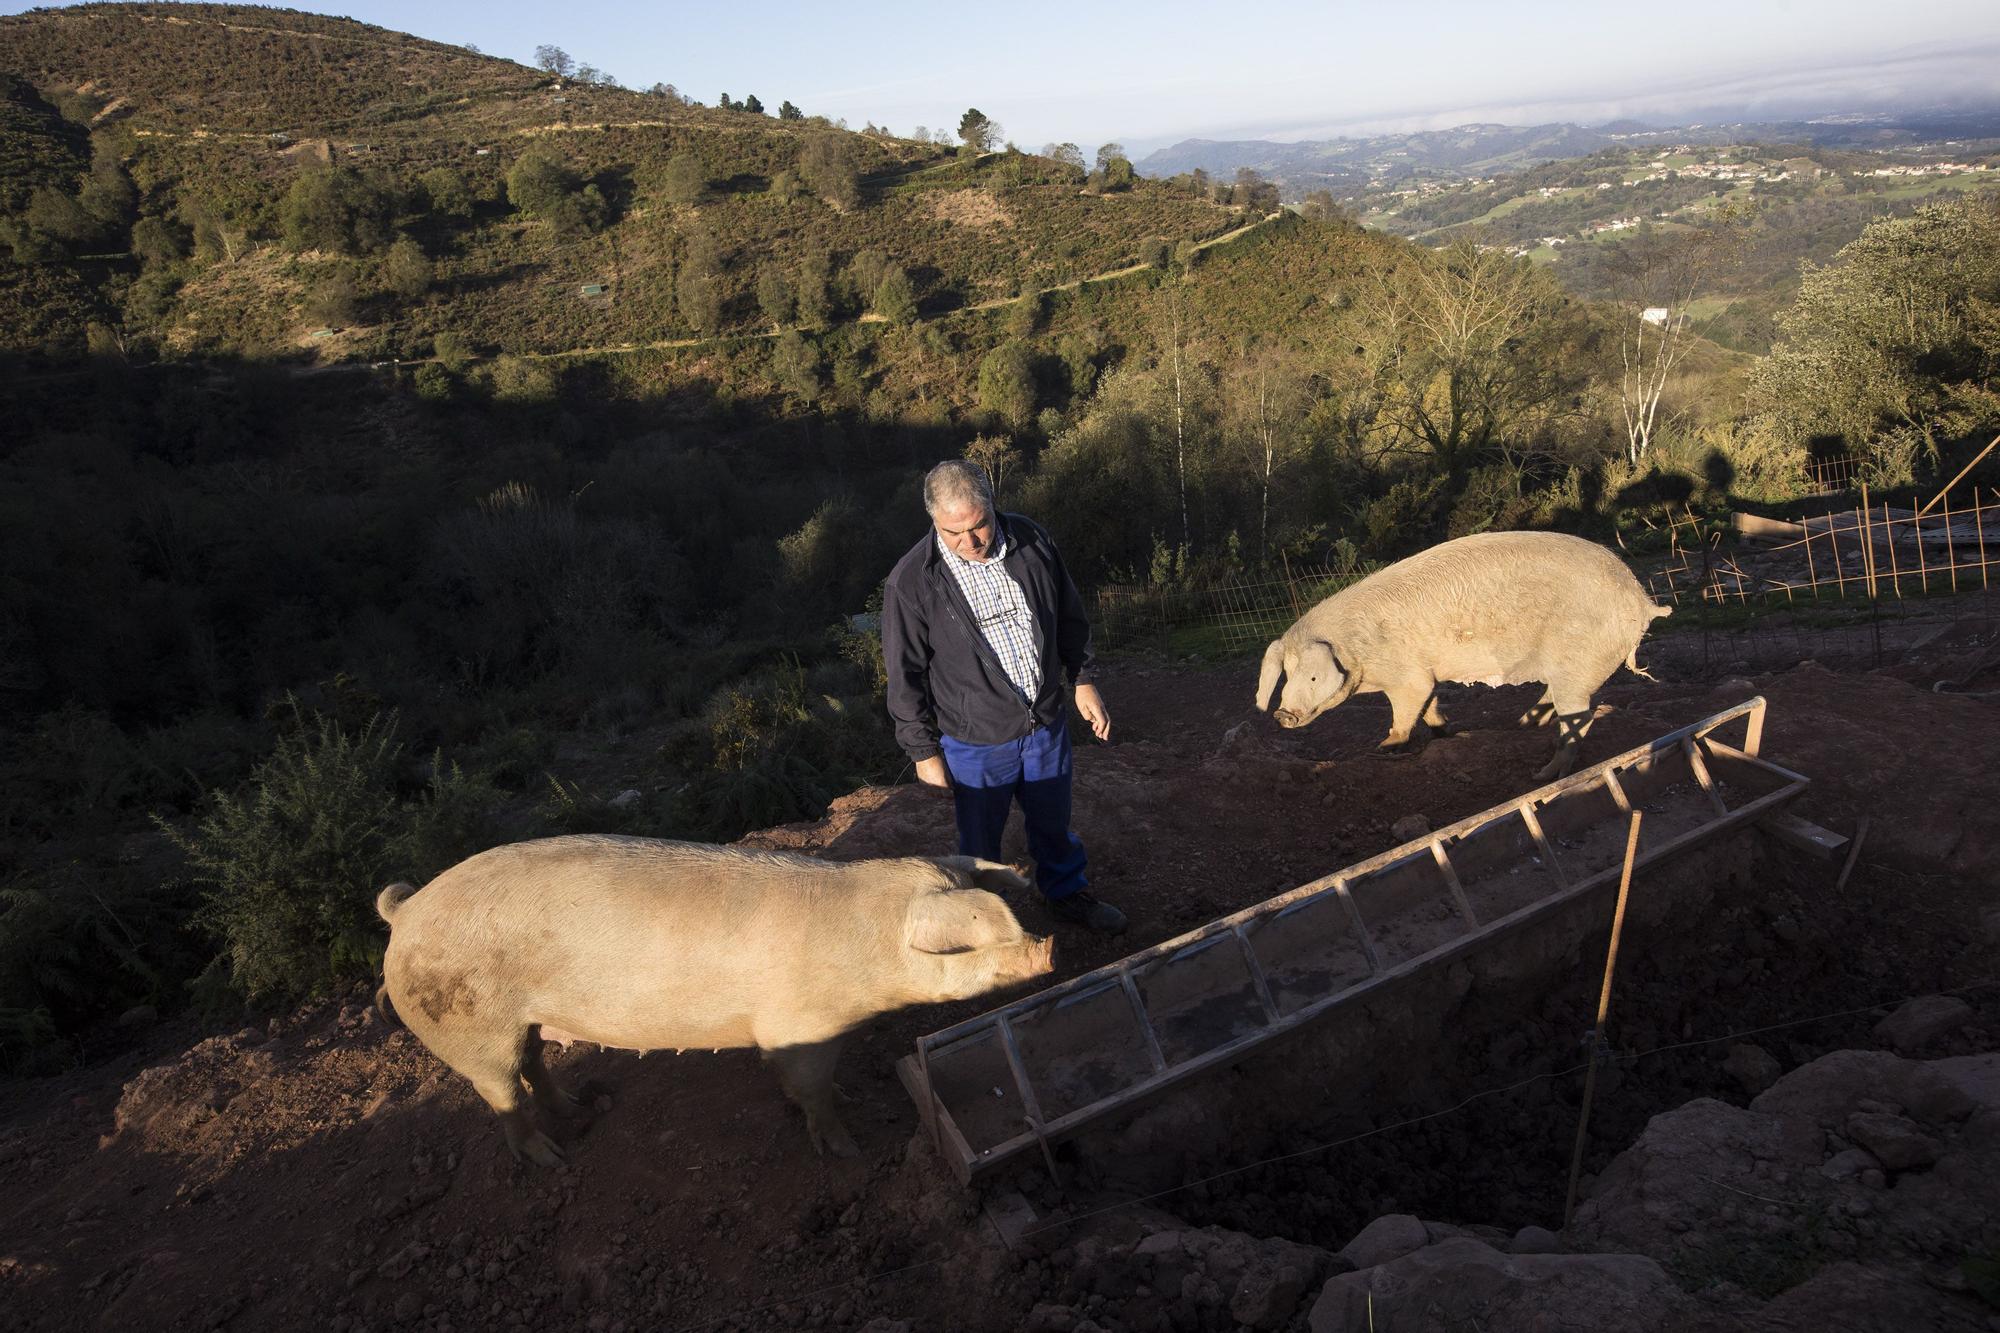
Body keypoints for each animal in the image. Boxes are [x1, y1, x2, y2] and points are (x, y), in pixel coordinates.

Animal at [378, 832, 1064, 1160]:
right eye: (969, 944)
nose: (1048, 945)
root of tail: (404, 913)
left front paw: (846, 1100)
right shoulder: (797, 1026)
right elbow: (811, 1089)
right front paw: (847, 1147)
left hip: (531, 1021)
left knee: (536, 1063)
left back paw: (574, 1106)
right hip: (467, 1029)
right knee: (502, 1092)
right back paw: (550, 1158)